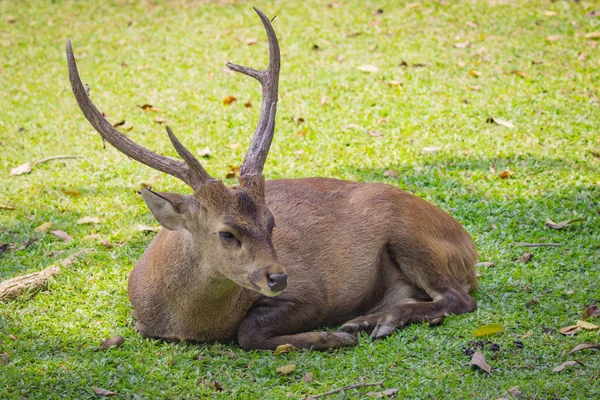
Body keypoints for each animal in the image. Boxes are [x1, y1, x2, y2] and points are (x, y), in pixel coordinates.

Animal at [67, 7, 478, 350]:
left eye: (271, 222)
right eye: (226, 233)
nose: (278, 278)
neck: (184, 322)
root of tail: (469, 247)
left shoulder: (314, 292)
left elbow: (248, 332)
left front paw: (332, 337)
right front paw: (337, 334)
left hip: (413, 237)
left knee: (460, 298)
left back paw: (374, 322)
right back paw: (367, 320)